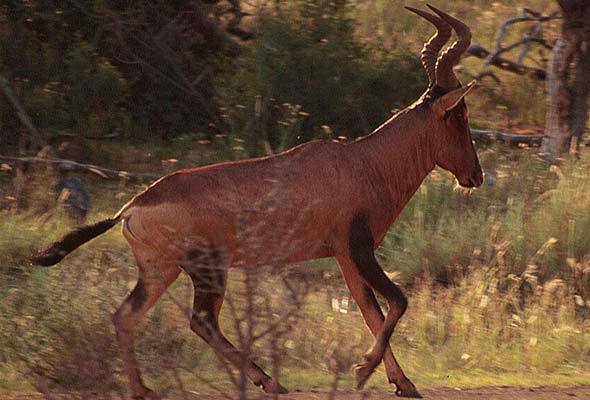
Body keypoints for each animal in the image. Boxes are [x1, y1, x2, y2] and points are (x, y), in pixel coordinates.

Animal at [32, 4, 484, 398]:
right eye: (459, 115)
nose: (475, 177)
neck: (361, 162)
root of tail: (131, 207)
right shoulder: (359, 250)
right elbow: (398, 302)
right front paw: (362, 371)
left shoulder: (345, 255)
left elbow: (370, 312)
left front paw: (402, 383)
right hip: (206, 270)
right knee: (200, 321)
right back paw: (267, 381)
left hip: (160, 271)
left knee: (127, 315)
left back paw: (150, 389)